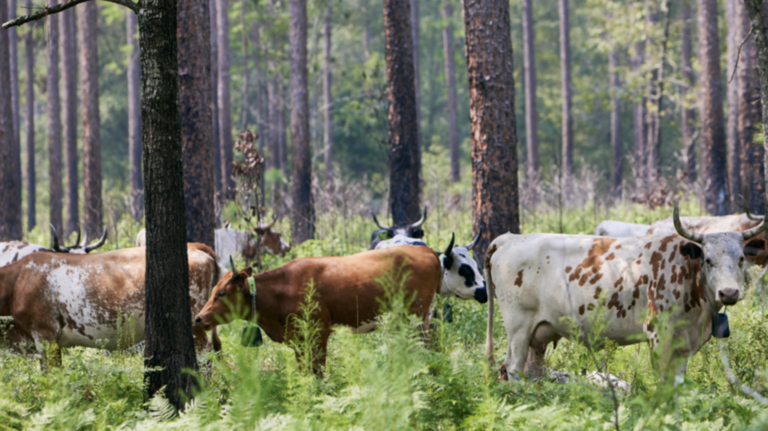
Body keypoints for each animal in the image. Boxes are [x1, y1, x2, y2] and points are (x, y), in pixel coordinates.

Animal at [194, 245, 442, 372]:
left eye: (222, 293)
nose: (198, 318)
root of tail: (427, 250)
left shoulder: (319, 331)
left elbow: (318, 370)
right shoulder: (298, 339)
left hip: (417, 316)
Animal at [484, 205, 768, 382]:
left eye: (741, 259)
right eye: (708, 260)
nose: (729, 292)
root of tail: (510, 238)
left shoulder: (684, 343)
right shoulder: (657, 333)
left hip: (538, 335)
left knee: (526, 370)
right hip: (518, 329)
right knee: (513, 369)